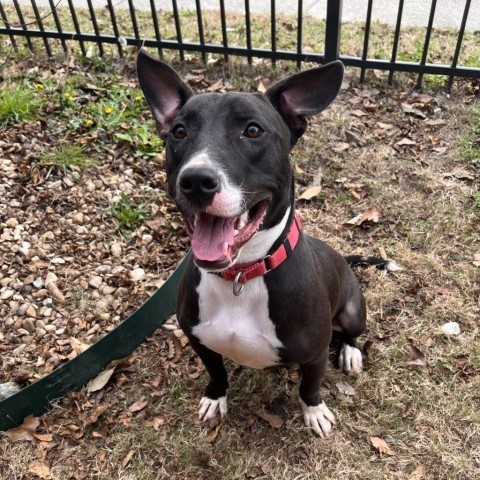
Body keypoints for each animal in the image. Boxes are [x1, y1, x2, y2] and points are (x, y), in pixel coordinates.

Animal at [136, 50, 398, 436]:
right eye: (179, 131)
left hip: (352, 310)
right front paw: (215, 397)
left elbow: (310, 386)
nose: (196, 180)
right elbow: (216, 372)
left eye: (253, 130)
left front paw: (314, 412)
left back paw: (350, 352)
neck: (241, 275)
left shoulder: (315, 354)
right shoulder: (200, 340)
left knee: (351, 333)